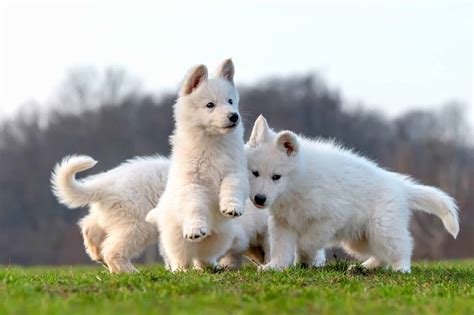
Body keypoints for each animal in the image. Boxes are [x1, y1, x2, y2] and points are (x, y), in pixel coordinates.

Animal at [146, 59, 250, 272]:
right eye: (210, 105)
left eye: (230, 101)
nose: (234, 116)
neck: (212, 143)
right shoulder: (192, 182)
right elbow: (195, 205)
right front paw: (195, 227)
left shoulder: (235, 171)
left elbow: (232, 187)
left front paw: (231, 206)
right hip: (176, 238)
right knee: (181, 257)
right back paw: (180, 269)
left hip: (221, 237)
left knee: (204, 257)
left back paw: (210, 266)